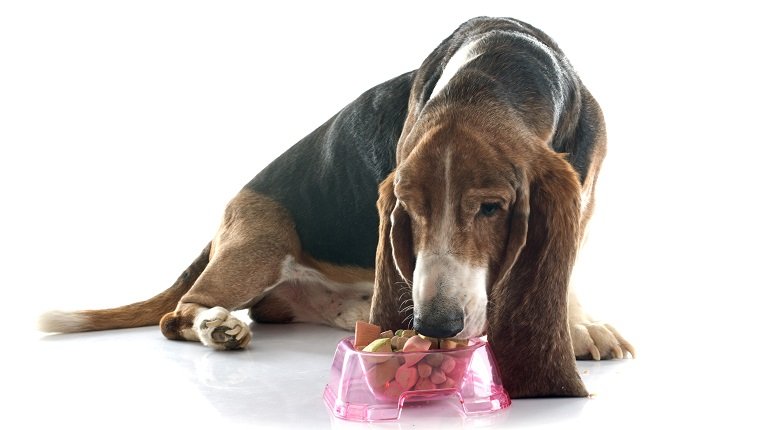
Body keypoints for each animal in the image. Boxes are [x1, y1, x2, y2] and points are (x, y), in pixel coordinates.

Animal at [41, 17, 636, 400]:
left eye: (491, 208)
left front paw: (579, 327)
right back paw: (218, 327)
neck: (493, 69)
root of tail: (222, 227)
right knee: (179, 315)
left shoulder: (584, 196)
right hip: (260, 246)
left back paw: (352, 309)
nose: (433, 324)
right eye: (407, 212)